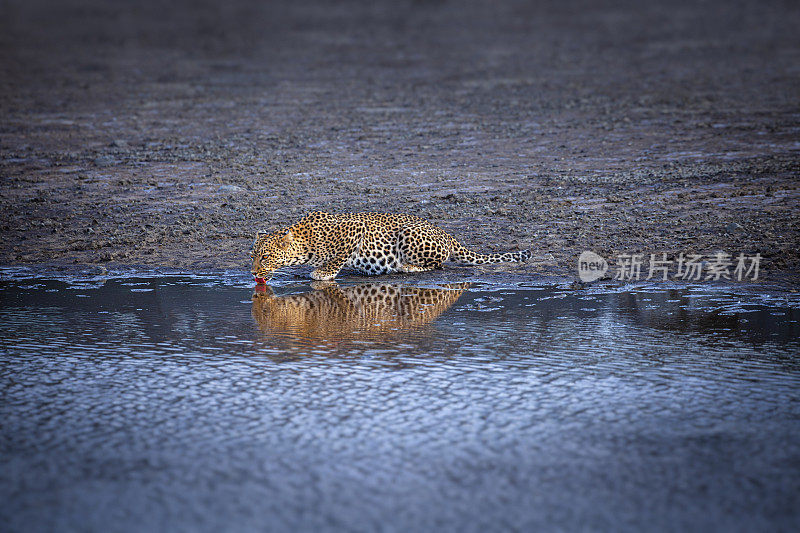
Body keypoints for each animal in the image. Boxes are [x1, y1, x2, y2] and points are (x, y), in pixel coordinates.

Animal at [247, 211, 528, 282]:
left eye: (265, 257)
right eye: (253, 256)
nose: (252, 273)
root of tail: (447, 234)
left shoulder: (355, 229)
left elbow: (338, 256)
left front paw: (323, 272)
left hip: (408, 234)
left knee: (437, 264)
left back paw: (406, 267)